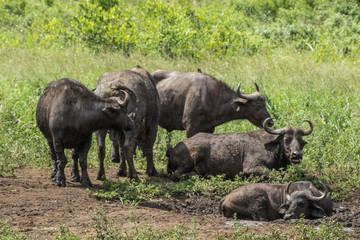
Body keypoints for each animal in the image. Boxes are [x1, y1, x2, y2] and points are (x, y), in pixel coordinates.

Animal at [167, 117, 314, 179]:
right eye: (286, 139)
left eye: (300, 140)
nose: (297, 154)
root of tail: (173, 149)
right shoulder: (251, 167)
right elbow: (276, 175)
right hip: (193, 155)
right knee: (177, 174)